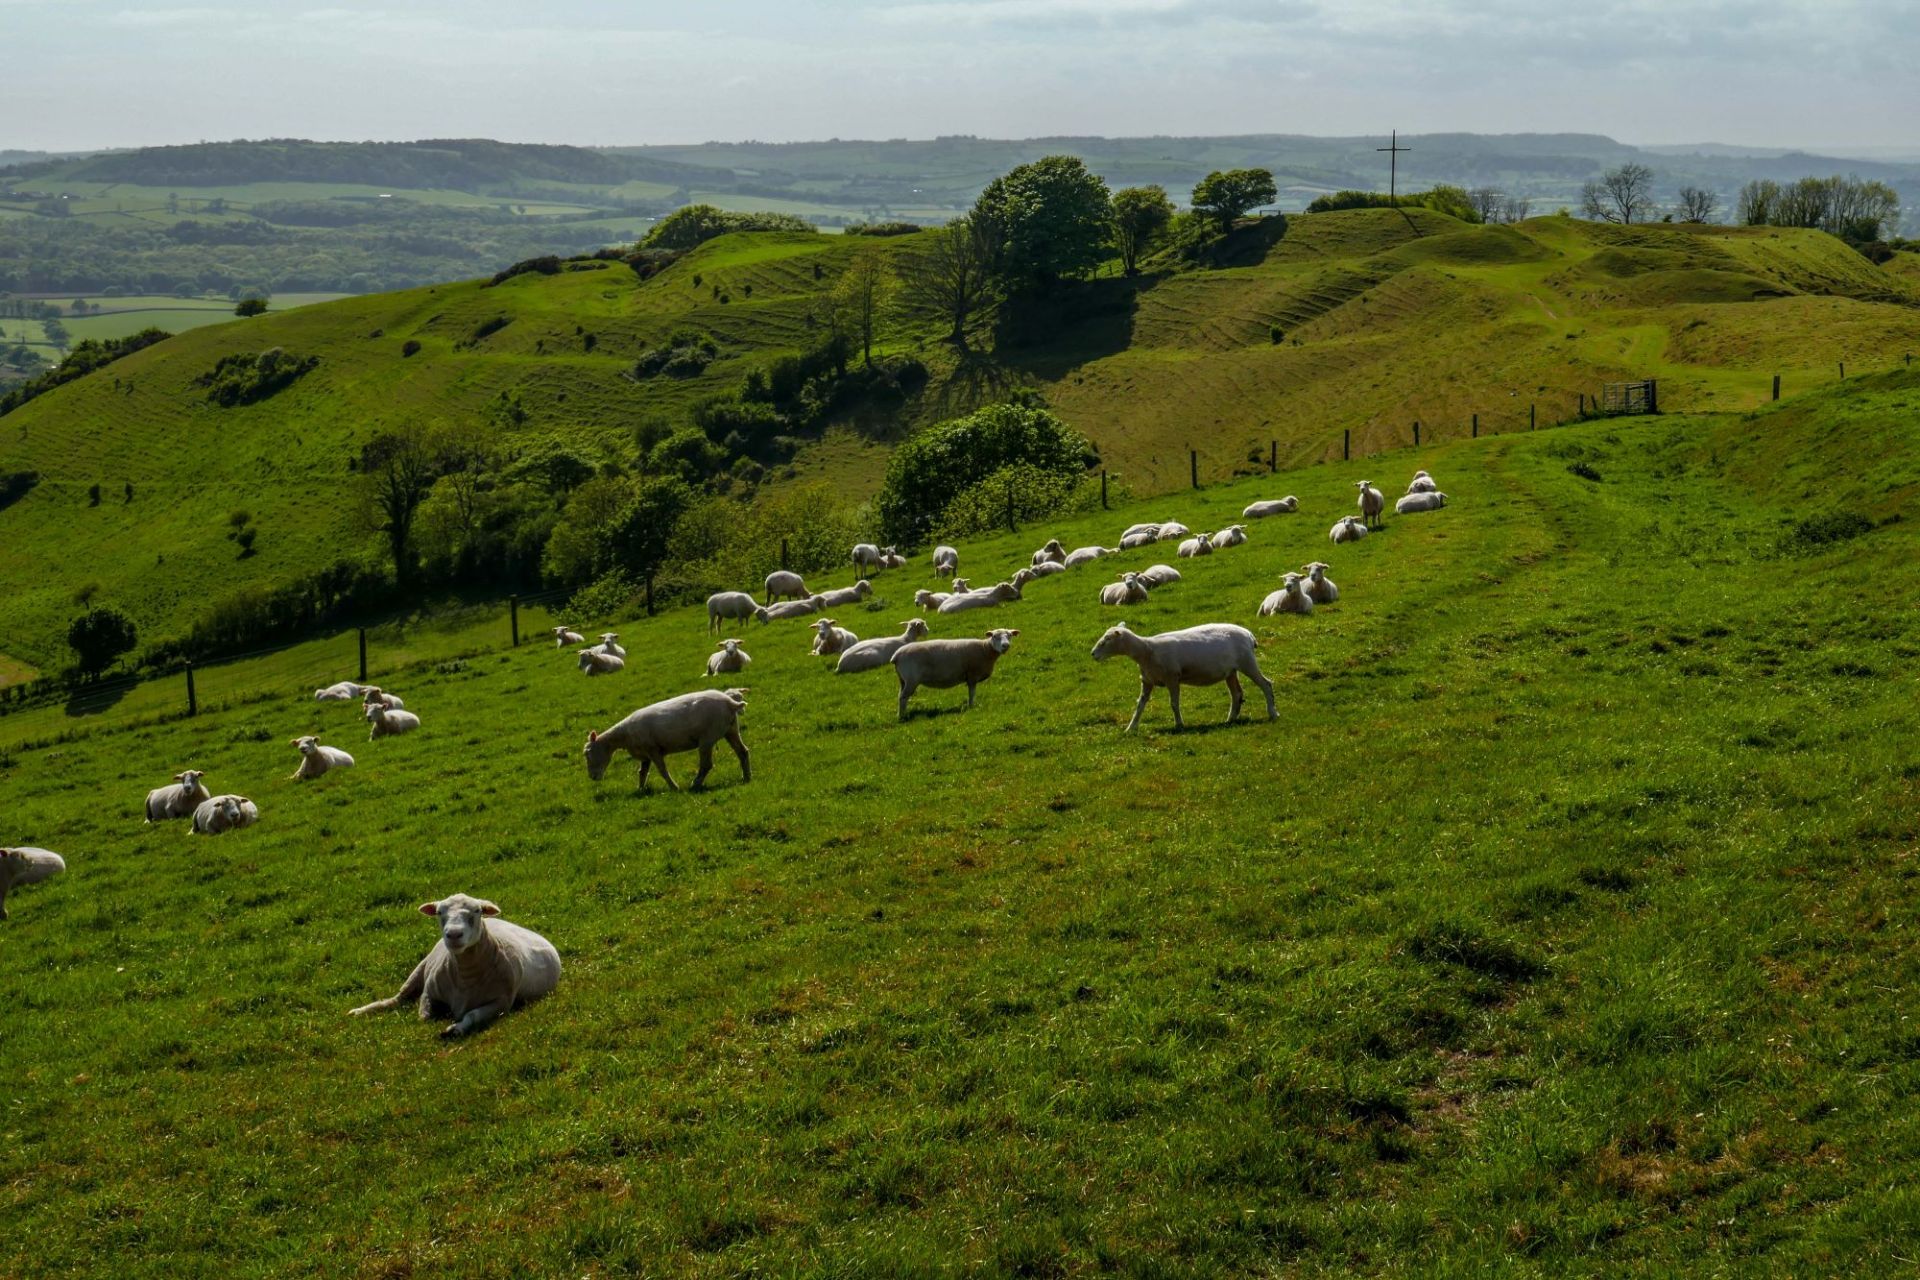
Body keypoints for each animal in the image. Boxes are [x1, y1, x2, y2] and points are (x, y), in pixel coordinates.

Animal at [349, 893, 562, 1039]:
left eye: (477, 911)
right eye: (439, 912)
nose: (453, 934)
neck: (466, 975)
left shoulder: (501, 1003)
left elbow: (472, 1015)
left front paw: (454, 1029)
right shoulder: (428, 993)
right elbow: (424, 1017)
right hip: (420, 967)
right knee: (397, 999)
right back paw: (360, 1011)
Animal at [583, 688, 750, 791]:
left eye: (587, 753)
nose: (592, 777)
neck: (624, 735)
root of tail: (731, 703)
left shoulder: (653, 750)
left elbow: (662, 771)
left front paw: (674, 787)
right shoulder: (645, 754)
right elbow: (642, 772)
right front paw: (640, 789)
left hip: (707, 738)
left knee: (706, 764)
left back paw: (695, 784)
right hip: (730, 730)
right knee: (743, 752)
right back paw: (747, 778)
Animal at [1090, 622, 1276, 732]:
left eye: (1107, 640)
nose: (1093, 654)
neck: (1146, 650)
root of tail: (1249, 635)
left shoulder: (1172, 678)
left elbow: (1173, 704)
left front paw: (1179, 725)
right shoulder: (1147, 681)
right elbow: (1140, 705)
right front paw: (1131, 728)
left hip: (1247, 662)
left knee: (1266, 684)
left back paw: (1273, 713)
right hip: (1231, 671)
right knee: (1236, 694)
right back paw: (1230, 720)